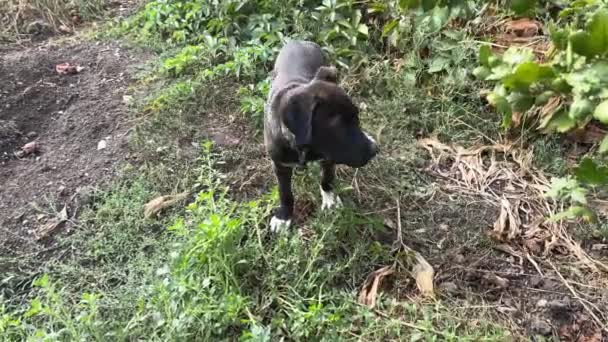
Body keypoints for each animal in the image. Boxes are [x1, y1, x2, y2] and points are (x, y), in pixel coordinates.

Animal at [264, 40, 378, 232]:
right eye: (338, 126)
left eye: (357, 117)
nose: (375, 149)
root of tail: (299, 40)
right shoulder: (280, 165)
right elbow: (285, 192)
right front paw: (283, 217)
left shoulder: (329, 157)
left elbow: (327, 179)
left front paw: (330, 201)